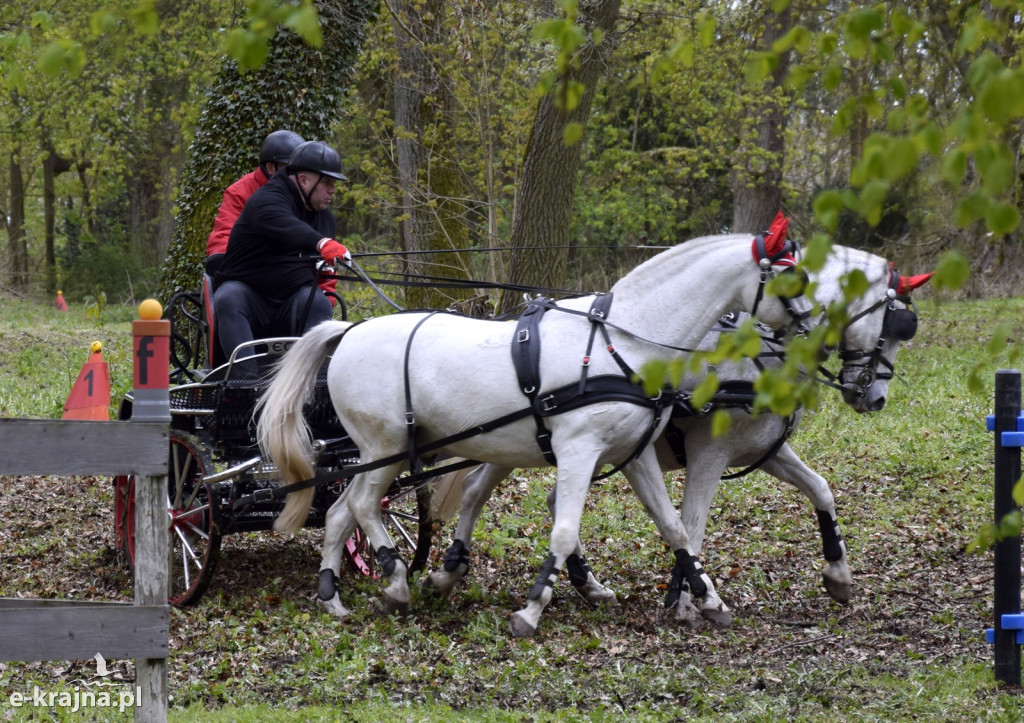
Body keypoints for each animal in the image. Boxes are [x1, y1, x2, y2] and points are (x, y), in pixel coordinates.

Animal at [260, 231, 819, 634]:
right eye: (793, 280)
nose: (816, 333)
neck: (621, 342)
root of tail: (348, 331)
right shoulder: (578, 451)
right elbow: (566, 530)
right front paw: (531, 610)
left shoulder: (634, 455)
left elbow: (675, 528)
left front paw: (710, 600)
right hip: (387, 447)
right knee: (359, 505)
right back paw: (395, 581)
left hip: (379, 453)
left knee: (340, 510)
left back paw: (333, 597)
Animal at [419, 246, 933, 606]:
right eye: (896, 323)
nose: (874, 396)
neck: (761, 356)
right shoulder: (710, 453)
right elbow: (693, 523)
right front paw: (686, 596)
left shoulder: (766, 449)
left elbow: (821, 490)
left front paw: (838, 576)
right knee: (479, 491)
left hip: (521, 442)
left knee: (488, 490)